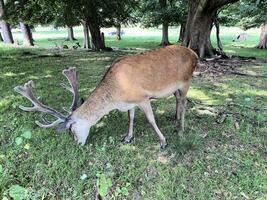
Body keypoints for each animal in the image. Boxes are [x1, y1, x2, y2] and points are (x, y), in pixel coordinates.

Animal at [14, 45, 199, 148]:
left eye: (72, 129)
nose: (77, 144)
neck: (116, 97)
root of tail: (194, 53)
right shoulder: (130, 102)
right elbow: (131, 117)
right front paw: (127, 138)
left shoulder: (142, 97)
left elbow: (151, 119)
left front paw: (163, 142)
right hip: (176, 87)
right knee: (178, 100)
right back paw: (175, 120)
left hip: (187, 80)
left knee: (184, 103)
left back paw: (180, 130)